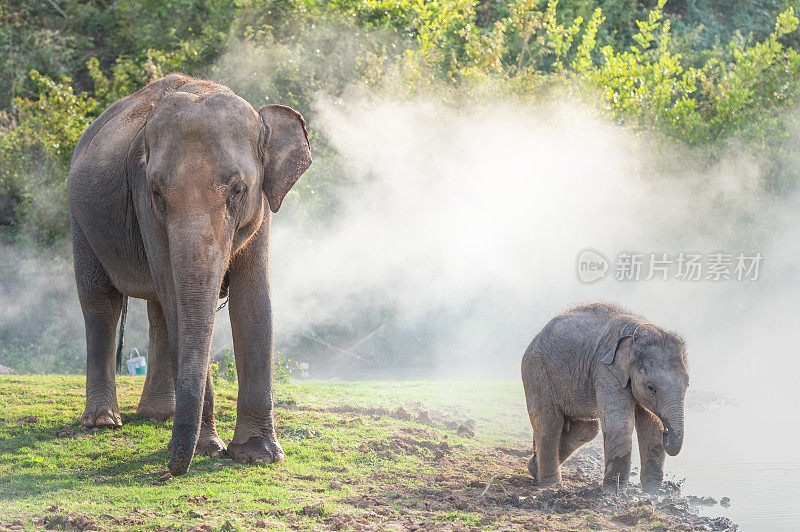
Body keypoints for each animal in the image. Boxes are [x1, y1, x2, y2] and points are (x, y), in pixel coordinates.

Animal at [67, 72, 310, 476]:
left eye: (238, 189)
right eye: (157, 192)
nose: (168, 470)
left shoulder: (262, 208)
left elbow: (253, 302)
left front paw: (258, 455)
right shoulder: (144, 204)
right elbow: (176, 298)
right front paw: (208, 450)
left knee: (157, 311)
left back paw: (159, 416)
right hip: (79, 221)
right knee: (101, 302)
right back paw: (103, 422)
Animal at [524, 304, 688, 490]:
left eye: (687, 385)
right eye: (651, 388)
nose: (667, 433)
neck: (636, 333)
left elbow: (651, 424)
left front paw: (653, 489)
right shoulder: (606, 370)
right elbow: (619, 424)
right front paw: (614, 490)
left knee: (587, 428)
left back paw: (533, 469)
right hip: (536, 371)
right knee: (550, 423)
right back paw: (550, 484)